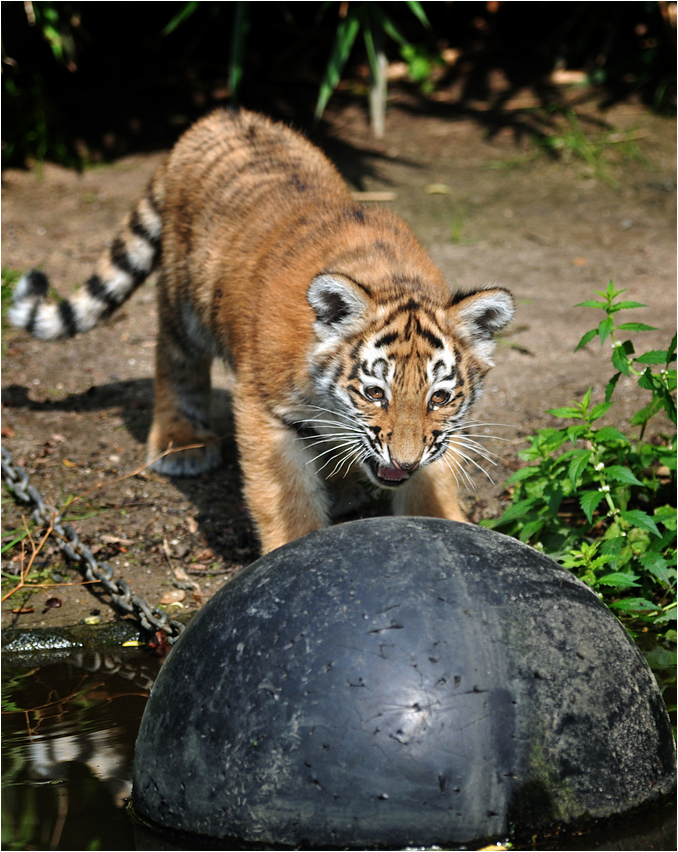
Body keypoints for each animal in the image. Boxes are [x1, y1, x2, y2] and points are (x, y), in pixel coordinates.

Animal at [9, 108, 516, 552]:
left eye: (439, 398)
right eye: (375, 393)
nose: (405, 459)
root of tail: (216, 118)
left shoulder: (444, 433)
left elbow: (434, 482)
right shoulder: (264, 408)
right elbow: (286, 498)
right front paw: (293, 549)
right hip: (183, 297)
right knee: (175, 359)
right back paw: (182, 442)